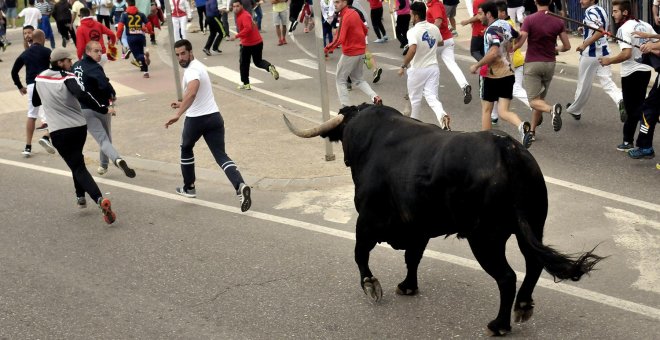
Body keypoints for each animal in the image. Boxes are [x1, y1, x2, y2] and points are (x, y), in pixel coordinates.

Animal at [284, 104, 604, 334]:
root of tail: (508, 151)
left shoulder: (367, 220)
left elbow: (360, 254)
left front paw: (371, 285)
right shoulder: (418, 229)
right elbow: (412, 258)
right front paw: (408, 286)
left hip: (485, 239)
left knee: (507, 277)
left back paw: (499, 325)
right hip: (533, 226)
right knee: (533, 264)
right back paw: (523, 306)